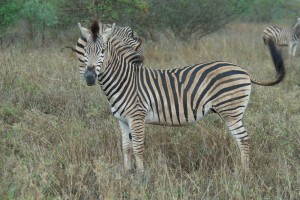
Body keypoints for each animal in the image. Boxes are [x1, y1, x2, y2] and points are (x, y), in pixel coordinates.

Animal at [76, 20, 284, 173]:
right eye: (84, 52)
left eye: (103, 51)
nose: (89, 77)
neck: (123, 80)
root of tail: (243, 70)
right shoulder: (122, 120)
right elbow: (126, 148)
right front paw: (127, 174)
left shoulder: (136, 117)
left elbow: (138, 148)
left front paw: (141, 177)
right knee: (242, 139)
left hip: (231, 111)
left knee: (244, 140)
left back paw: (244, 173)